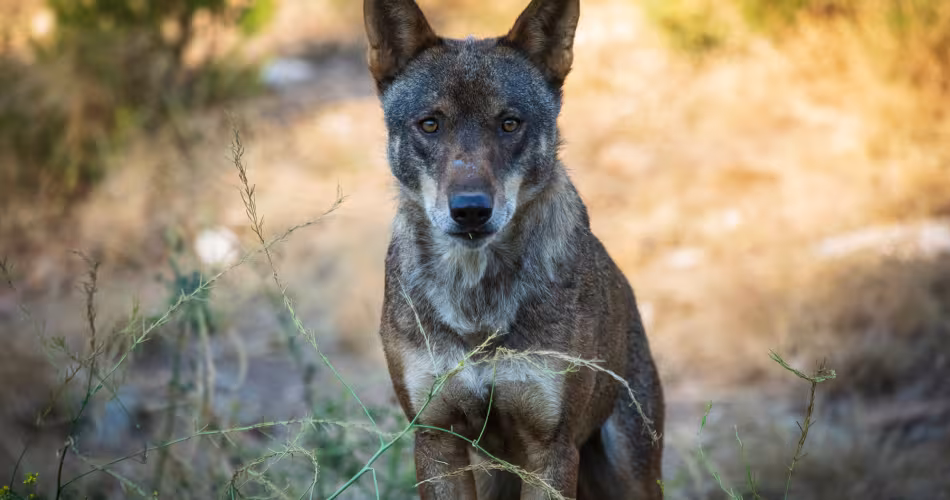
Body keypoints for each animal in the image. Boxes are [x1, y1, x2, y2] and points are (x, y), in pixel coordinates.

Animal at [365, 0, 664, 498]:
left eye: (509, 124)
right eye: (430, 124)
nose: (470, 210)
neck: (476, 305)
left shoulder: (551, 449)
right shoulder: (436, 439)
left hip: (629, 470)